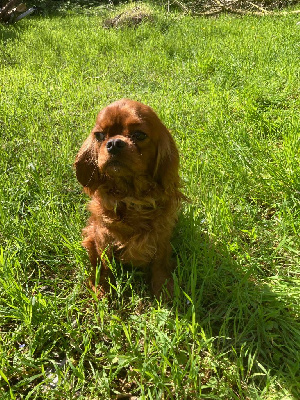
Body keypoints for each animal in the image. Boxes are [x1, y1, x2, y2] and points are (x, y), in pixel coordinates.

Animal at [75, 98, 183, 298]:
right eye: (99, 135)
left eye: (139, 135)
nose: (114, 143)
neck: (130, 196)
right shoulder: (102, 234)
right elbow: (104, 262)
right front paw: (102, 286)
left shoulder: (162, 234)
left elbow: (160, 261)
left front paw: (163, 287)